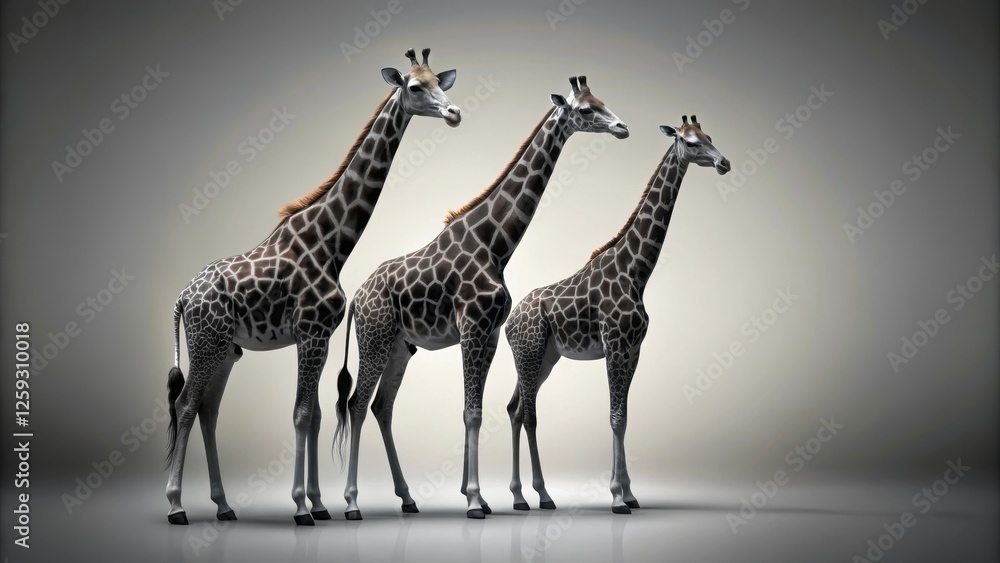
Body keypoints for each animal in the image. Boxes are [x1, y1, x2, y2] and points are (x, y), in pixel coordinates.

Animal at [163, 48, 461, 526]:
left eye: (441, 82)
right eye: (416, 87)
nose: (454, 113)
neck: (333, 243)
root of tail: (181, 298)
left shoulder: (320, 335)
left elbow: (317, 413)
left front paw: (320, 504)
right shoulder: (310, 332)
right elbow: (303, 414)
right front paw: (302, 506)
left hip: (226, 348)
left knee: (208, 409)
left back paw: (224, 505)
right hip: (206, 341)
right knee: (186, 405)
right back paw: (176, 505)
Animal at [332, 75, 630, 520]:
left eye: (603, 101)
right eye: (586, 110)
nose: (621, 128)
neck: (496, 244)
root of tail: (356, 297)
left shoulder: (488, 334)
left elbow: (476, 410)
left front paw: (480, 495)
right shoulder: (472, 327)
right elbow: (472, 412)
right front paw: (474, 499)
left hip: (401, 347)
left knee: (381, 406)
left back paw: (407, 498)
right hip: (374, 339)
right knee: (356, 404)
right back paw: (352, 503)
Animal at [504, 115, 730, 513]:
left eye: (709, 136)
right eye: (691, 143)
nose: (724, 163)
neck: (637, 271)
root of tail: (510, 322)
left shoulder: (634, 349)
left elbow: (625, 417)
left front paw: (629, 493)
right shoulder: (615, 345)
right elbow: (615, 417)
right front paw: (615, 497)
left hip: (543, 357)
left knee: (516, 408)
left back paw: (524, 495)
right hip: (529, 353)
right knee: (528, 412)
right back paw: (536, 496)